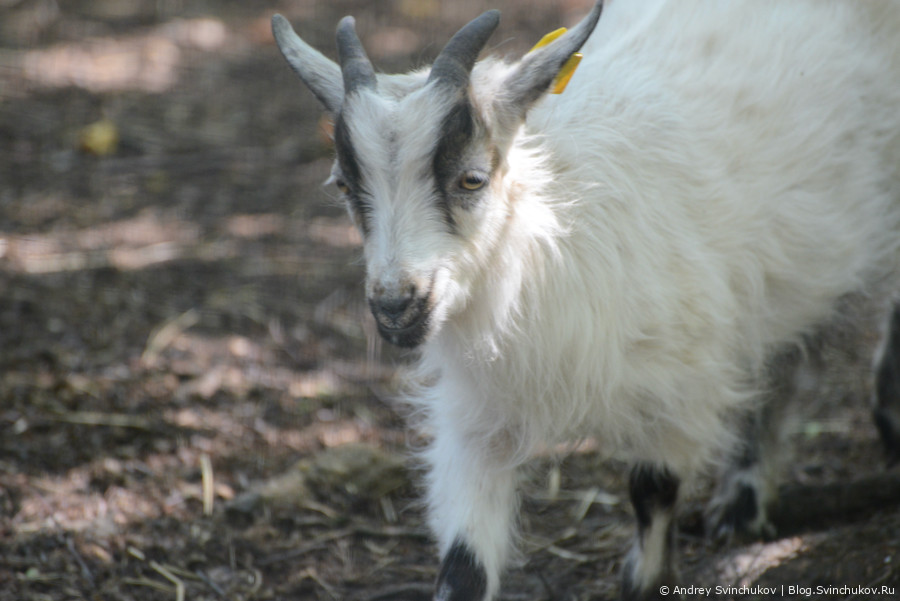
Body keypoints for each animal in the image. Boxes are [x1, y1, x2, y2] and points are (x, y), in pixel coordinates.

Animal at [272, 0, 900, 596]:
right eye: (345, 185)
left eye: (472, 179)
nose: (395, 306)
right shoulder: (475, 419)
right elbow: (464, 565)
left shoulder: (680, 386)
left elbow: (651, 493)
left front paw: (645, 580)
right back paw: (746, 502)